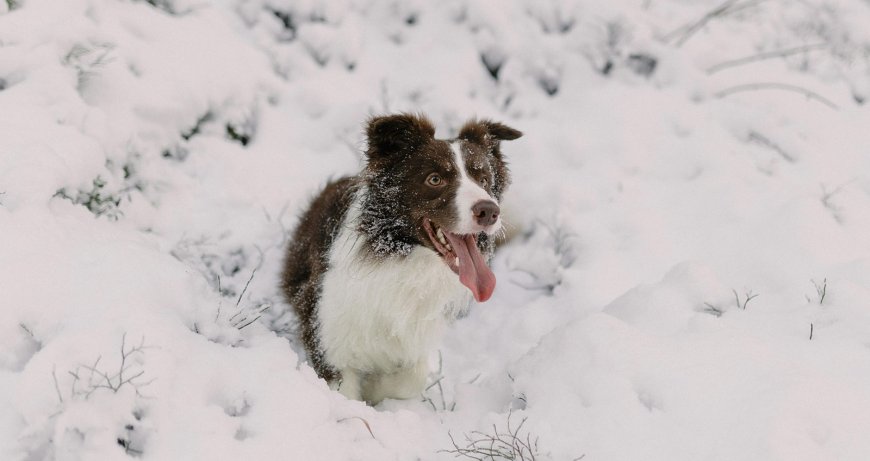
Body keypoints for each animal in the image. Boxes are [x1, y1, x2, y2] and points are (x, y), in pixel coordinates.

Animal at [282, 112, 520, 402]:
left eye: (484, 179)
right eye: (434, 179)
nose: (489, 211)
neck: (404, 258)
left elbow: (413, 377)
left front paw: (377, 387)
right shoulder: (327, 333)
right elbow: (344, 393)